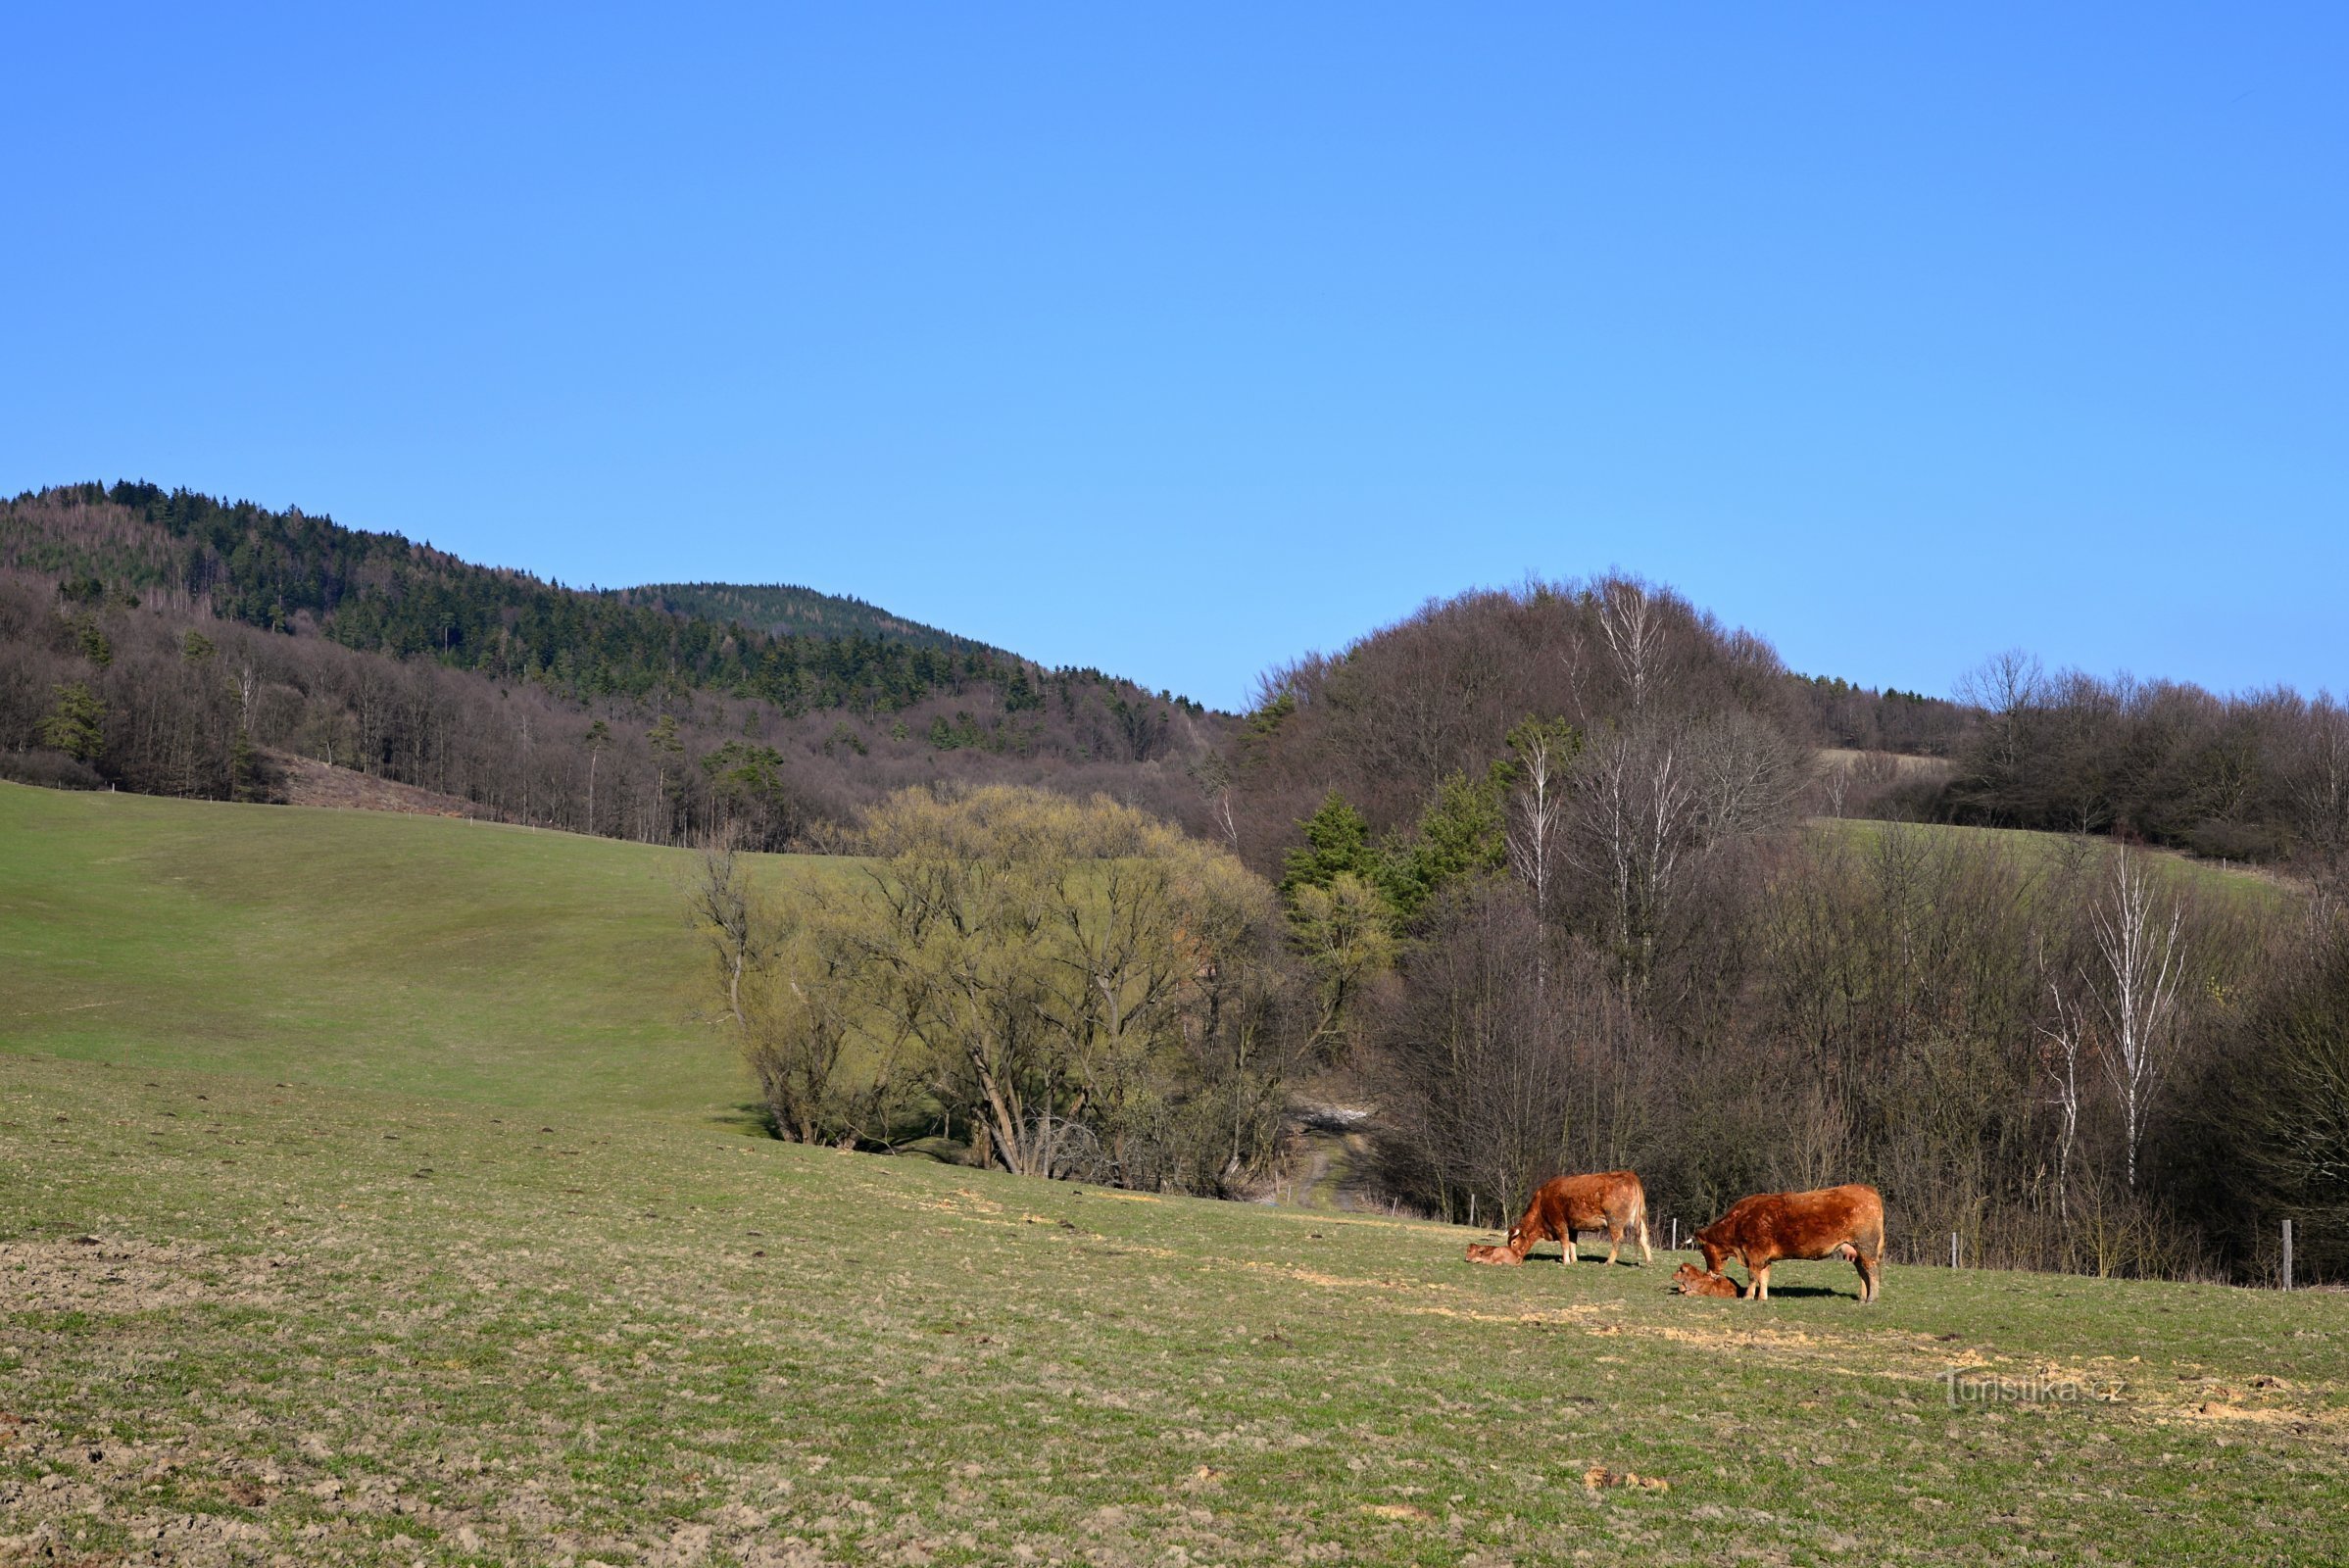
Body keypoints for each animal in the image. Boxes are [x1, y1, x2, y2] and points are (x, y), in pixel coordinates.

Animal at [1456, 1168, 1663, 1267]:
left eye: (1514, 1243)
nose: (1514, 1258)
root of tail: (1628, 1174)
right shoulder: (1573, 1226)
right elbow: (1572, 1243)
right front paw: (1574, 1260)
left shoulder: (1559, 1223)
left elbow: (1564, 1242)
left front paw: (1565, 1261)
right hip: (1640, 1219)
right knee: (1644, 1239)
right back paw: (1649, 1261)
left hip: (1615, 1221)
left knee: (1618, 1240)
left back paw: (1609, 1262)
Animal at [1700, 1183, 1879, 1304]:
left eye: (1703, 1250)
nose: (1709, 1272)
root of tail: (1867, 1189)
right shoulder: (1765, 1257)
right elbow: (1764, 1277)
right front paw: (1762, 1298)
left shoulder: (1755, 1253)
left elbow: (1753, 1276)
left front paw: (1748, 1296)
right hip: (1856, 1251)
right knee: (1863, 1273)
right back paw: (1863, 1298)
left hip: (1866, 1248)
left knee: (1872, 1271)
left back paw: (1872, 1298)